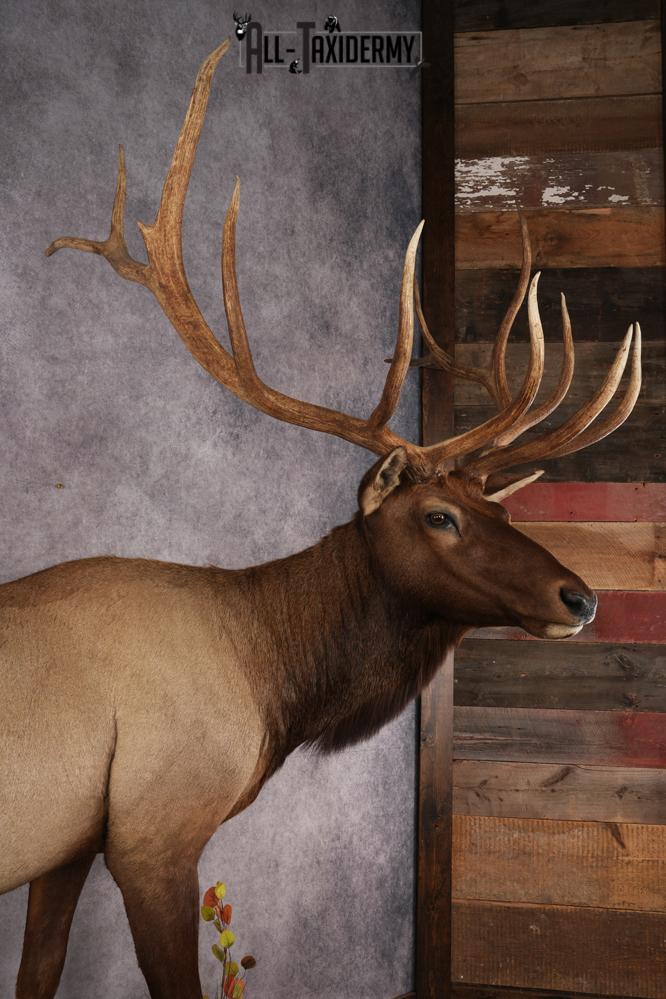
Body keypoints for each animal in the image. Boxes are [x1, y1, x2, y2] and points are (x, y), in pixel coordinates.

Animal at [1, 39, 641, 999]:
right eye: (439, 515)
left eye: (494, 501)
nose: (581, 596)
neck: (270, 679)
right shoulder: (153, 831)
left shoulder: (68, 845)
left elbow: (37, 970)